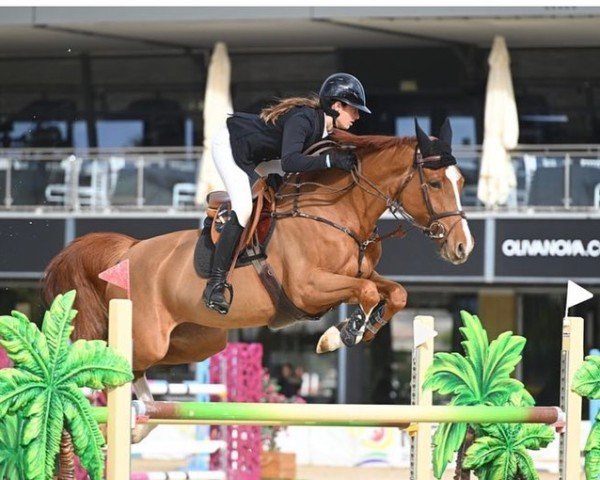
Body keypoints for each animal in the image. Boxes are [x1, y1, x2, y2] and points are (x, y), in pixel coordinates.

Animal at [42, 119, 474, 438]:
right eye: (435, 183)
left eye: (462, 182)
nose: (462, 248)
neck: (338, 211)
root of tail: (128, 251)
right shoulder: (309, 288)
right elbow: (367, 293)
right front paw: (341, 334)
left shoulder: (358, 275)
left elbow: (393, 293)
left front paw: (357, 329)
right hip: (146, 333)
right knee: (109, 357)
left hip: (197, 341)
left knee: (136, 370)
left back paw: (142, 419)